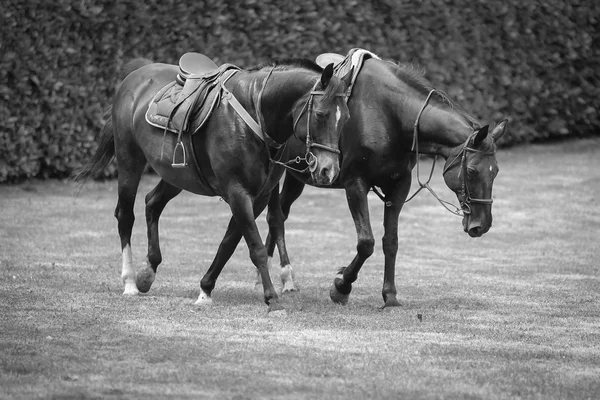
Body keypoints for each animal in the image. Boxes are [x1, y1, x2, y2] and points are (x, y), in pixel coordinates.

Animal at [72, 56, 350, 312]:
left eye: (345, 118)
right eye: (321, 114)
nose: (329, 170)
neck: (254, 112)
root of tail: (136, 75)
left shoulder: (258, 196)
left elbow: (229, 242)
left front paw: (205, 289)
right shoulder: (237, 192)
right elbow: (256, 247)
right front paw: (271, 298)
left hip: (176, 174)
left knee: (152, 203)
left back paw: (148, 271)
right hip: (129, 160)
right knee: (125, 216)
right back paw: (130, 281)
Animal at [260, 50, 508, 308]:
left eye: (495, 171)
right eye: (472, 171)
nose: (482, 224)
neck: (390, 115)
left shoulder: (398, 186)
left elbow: (391, 241)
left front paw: (389, 295)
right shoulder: (356, 184)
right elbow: (366, 242)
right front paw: (341, 286)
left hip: (296, 177)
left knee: (281, 213)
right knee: (275, 217)